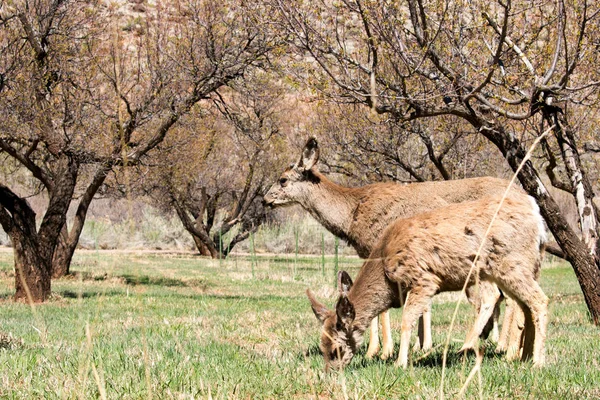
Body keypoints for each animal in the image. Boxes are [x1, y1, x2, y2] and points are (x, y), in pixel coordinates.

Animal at [264, 138, 528, 360]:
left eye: (283, 179)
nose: (265, 199)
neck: (352, 214)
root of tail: (523, 194)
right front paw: (416, 346)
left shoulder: (379, 249)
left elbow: (384, 309)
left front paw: (379, 351)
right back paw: (510, 348)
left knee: (503, 296)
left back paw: (500, 349)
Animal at [310, 195, 548, 370]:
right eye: (321, 346)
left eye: (336, 350)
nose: (330, 372)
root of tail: (537, 216)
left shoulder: (424, 278)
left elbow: (407, 319)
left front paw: (400, 363)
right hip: (508, 270)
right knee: (523, 306)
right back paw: (522, 357)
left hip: (512, 264)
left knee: (539, 300)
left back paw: (536, 362)